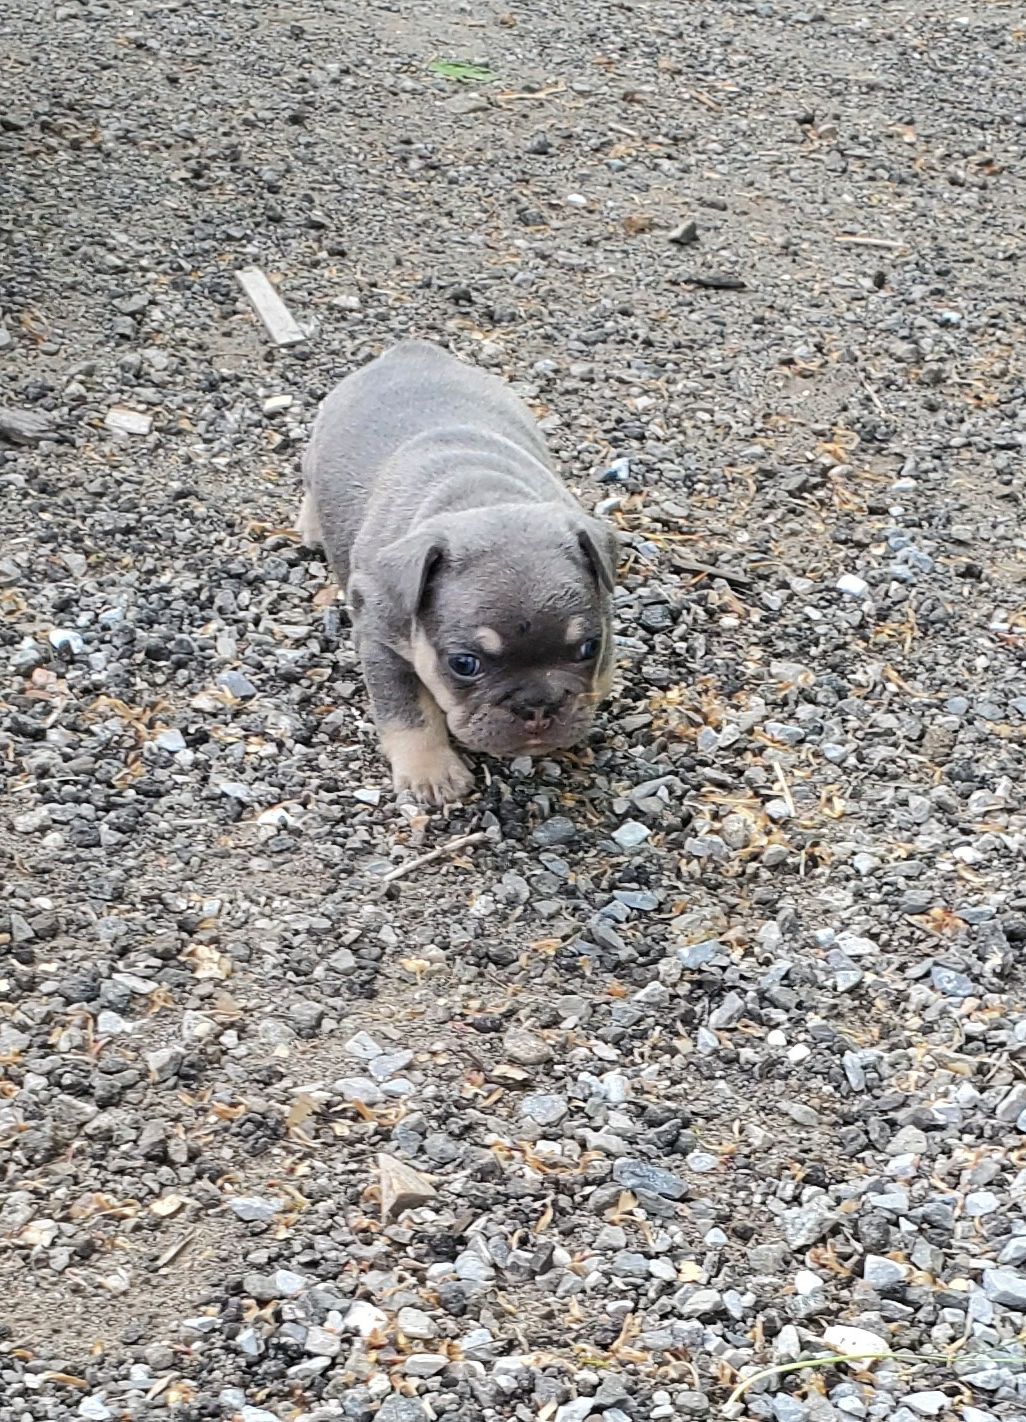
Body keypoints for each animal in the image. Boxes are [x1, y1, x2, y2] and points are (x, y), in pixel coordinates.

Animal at [295, 334, 616, 802]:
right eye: (464, 664)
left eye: (588, 648)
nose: (537, 705)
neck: (482, 499)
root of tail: (409, 352)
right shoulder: (381, 646)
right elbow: (409, 714)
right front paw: (431, 773)